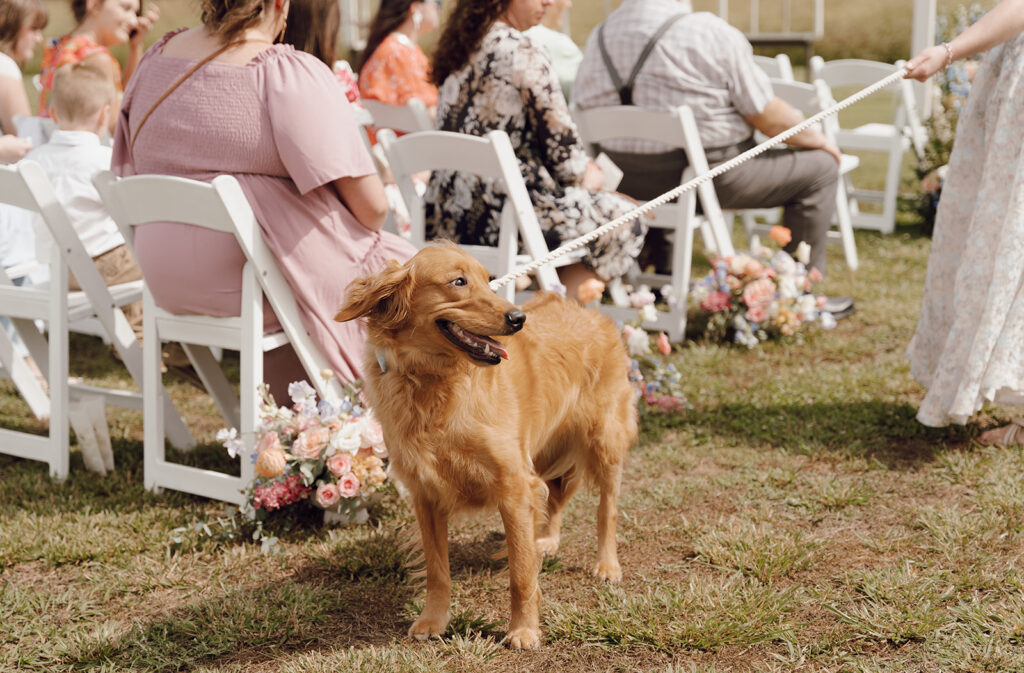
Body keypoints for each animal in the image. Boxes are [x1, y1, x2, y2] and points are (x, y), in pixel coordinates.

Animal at [335, 243, 634, 647]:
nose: (518, 318)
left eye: (486, 280)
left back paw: (606, 564)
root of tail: (588, 312)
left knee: (607, 509)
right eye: (458, 282)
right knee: (555, 497)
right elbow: (437, 570)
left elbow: (520, 574)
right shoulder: (426, 494)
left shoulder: (513, 485)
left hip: (604, 440)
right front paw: (434, 619)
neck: (433, 382)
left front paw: (523, 629)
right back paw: (546, 540)